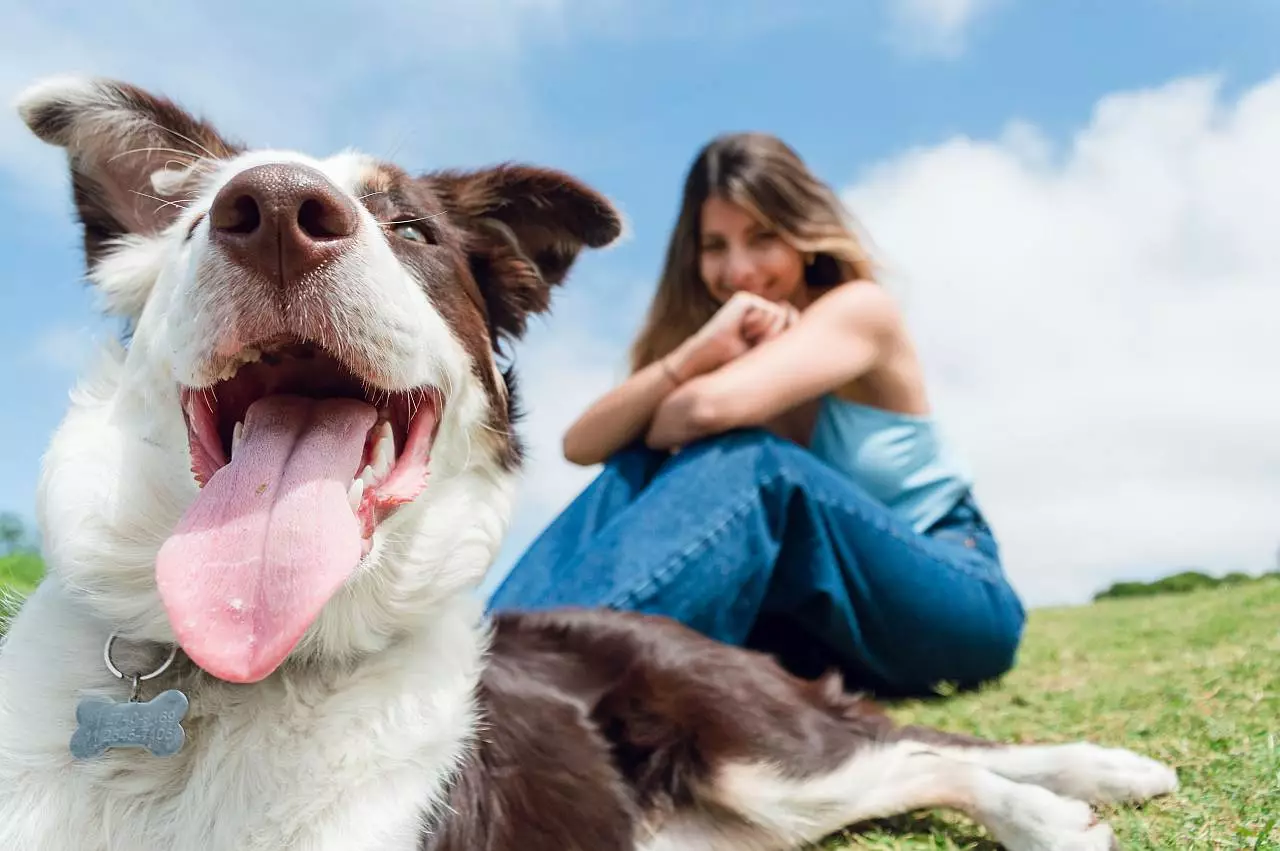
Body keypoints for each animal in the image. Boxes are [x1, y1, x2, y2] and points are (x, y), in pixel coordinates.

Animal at [0, 76, 1177, 844]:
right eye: (200, 216)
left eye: (413, 231)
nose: (279, 210)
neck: (233, 676)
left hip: (754, 753)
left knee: (925, 750)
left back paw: (1063, 798)